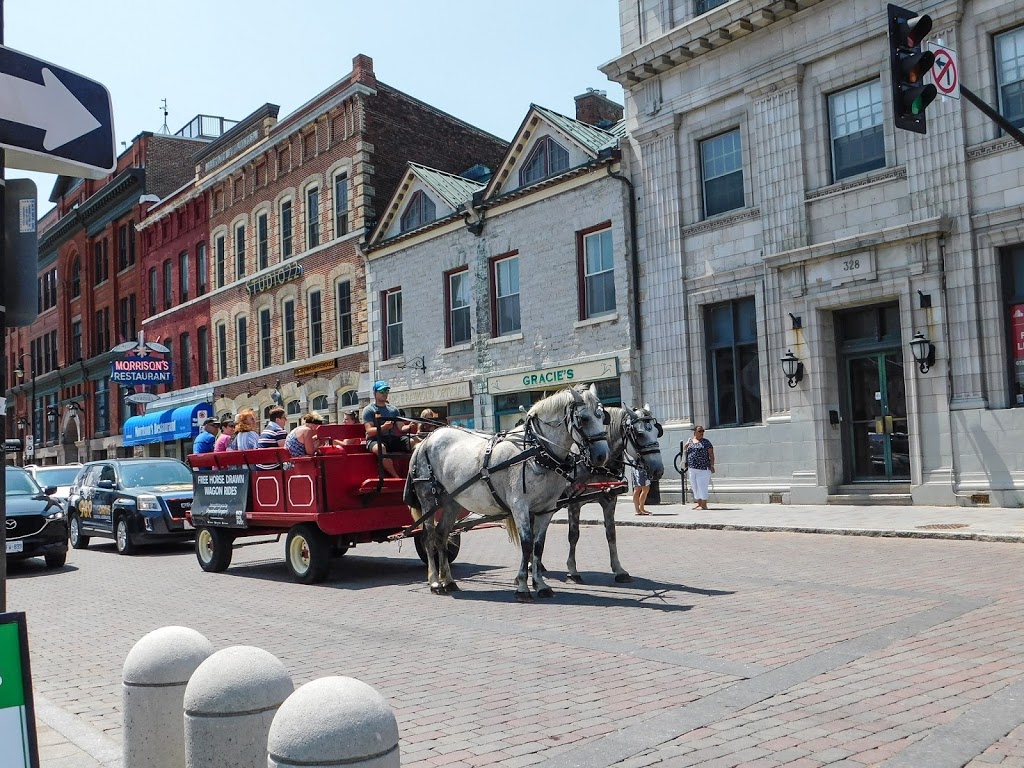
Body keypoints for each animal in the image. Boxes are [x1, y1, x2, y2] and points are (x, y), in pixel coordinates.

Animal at [401, 385, 610, 602]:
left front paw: (541, 584)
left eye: (603, 416)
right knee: (429, 537)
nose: (601, 456)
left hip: (452, 502)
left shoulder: (547, 508)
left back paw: (448, 581)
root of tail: (427, 439)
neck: (537, 451)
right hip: (428, 498)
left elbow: (538, 545)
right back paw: (435, 582)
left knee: (442, 535)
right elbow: (527, 543)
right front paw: (523, 587)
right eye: (584, 418)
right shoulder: (519, 505)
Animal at [561, 405, 663, 585]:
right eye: (640, 434)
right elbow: (574, 535)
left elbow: (611, 534)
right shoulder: (574, 502)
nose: (658, 469)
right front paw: (572, 571)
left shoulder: (609, 499)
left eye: (657, 432)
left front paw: (619, 569)